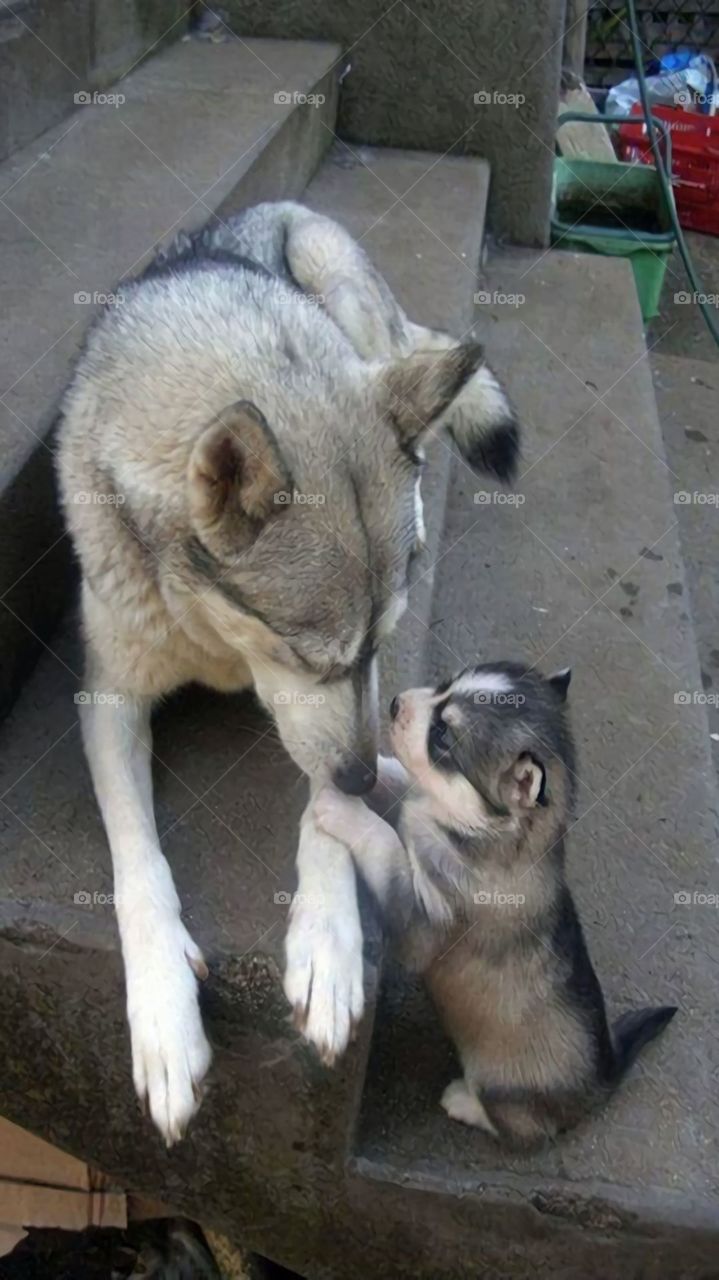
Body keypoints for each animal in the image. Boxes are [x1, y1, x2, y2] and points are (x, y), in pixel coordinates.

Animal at [55, 202, 514, 1152]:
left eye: (378, 645)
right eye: (309, 656)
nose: (362, 775)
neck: (214, 639)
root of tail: (277, 208)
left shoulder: (351, 710)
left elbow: (322, 807)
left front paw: (328, 942)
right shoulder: (109, 697)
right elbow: (135, 858)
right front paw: (164, 1014)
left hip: (337, 281)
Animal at [312, 665, 670, 1146]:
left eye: (442, 735)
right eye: (444, 684)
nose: (395, 703)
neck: (492, 834)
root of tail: (605, 1076)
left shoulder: (424, 924)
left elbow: (385, 844)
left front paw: (343, 809)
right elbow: (404, 785)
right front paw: (373, 772)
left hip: (503, 1089)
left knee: (520, 1129)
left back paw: (465, 1103)